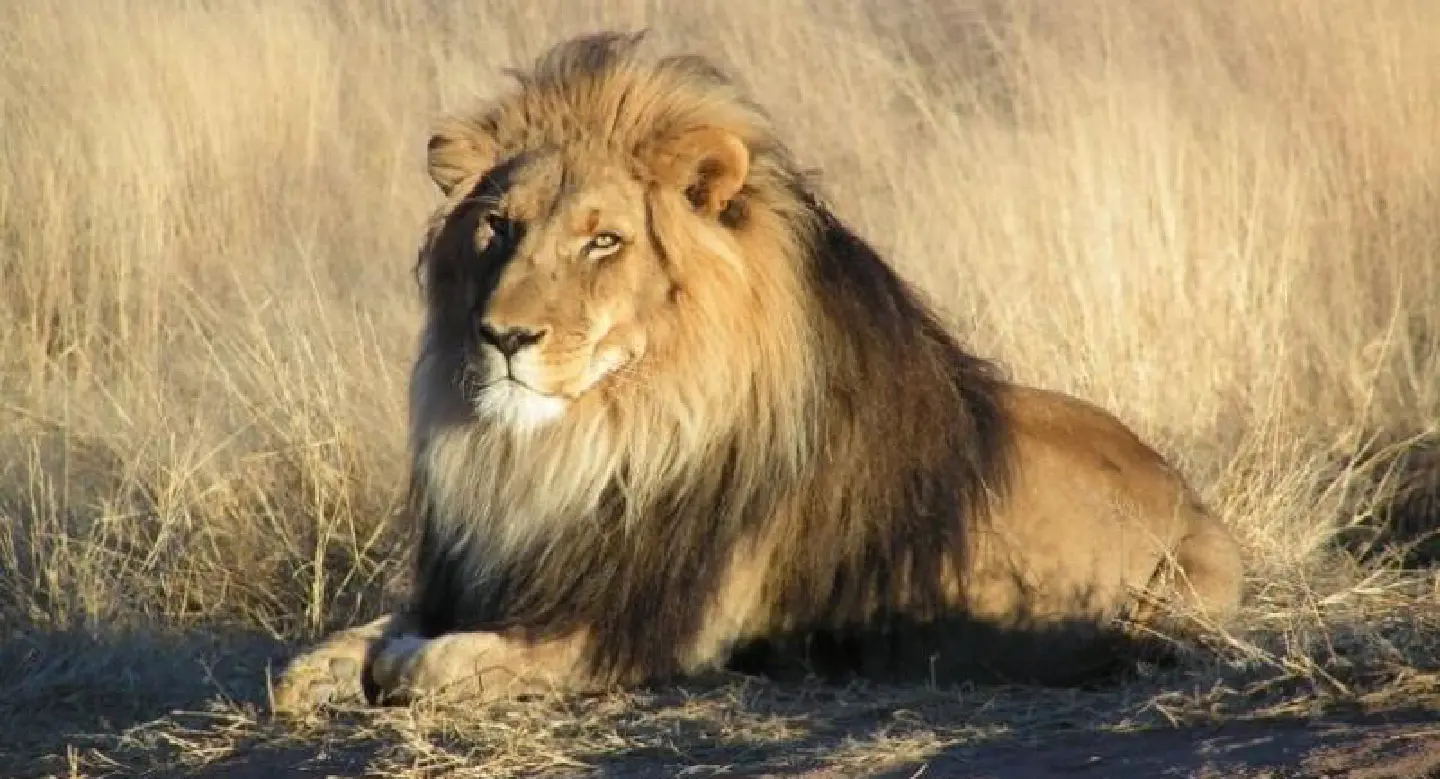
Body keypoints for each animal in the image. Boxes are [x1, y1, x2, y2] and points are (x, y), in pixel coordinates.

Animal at [273, 31, 1244, 712]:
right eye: (498, 227)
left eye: (604, 240)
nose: (503, 335)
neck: (586, 443)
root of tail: (1191, 494)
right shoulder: (495, 575)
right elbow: (322, 655)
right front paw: (330, 666)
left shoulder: (649, 629)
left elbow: (434, 663)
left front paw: (399, 663)